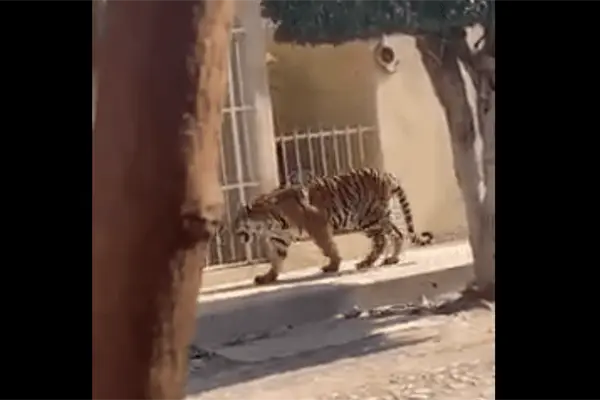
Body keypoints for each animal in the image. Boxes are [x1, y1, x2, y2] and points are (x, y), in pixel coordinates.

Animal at [233, 167, 434, 285]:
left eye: (235, 222)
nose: (233, 233)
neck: (267, 224)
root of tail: (388, 175)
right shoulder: (279, 240)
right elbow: (276, 260)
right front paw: (267, 277)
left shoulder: (318, 224)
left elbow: (328, 247)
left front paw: (333, 266)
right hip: (378, 217)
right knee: (397, 234)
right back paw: (391, 259)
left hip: (367, 218)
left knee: (382, 239)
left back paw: (367, 262)